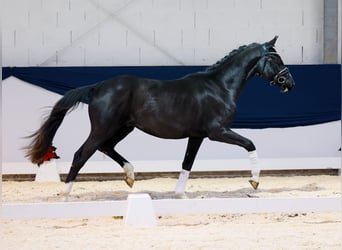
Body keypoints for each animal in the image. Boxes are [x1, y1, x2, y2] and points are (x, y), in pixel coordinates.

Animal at [26, 36, 294, 197]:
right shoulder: (217, 132)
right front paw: (255, 182)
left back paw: (130, 176)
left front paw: (180, 194)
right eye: (275, 58)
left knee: (106, 147)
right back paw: (65, 193)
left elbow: (187, 163)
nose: (290, 82)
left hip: (123, 128)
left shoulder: (197, 136)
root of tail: (99, 86)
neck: (219, 87)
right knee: (82, 153)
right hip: (104, 127)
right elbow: (250, 143)